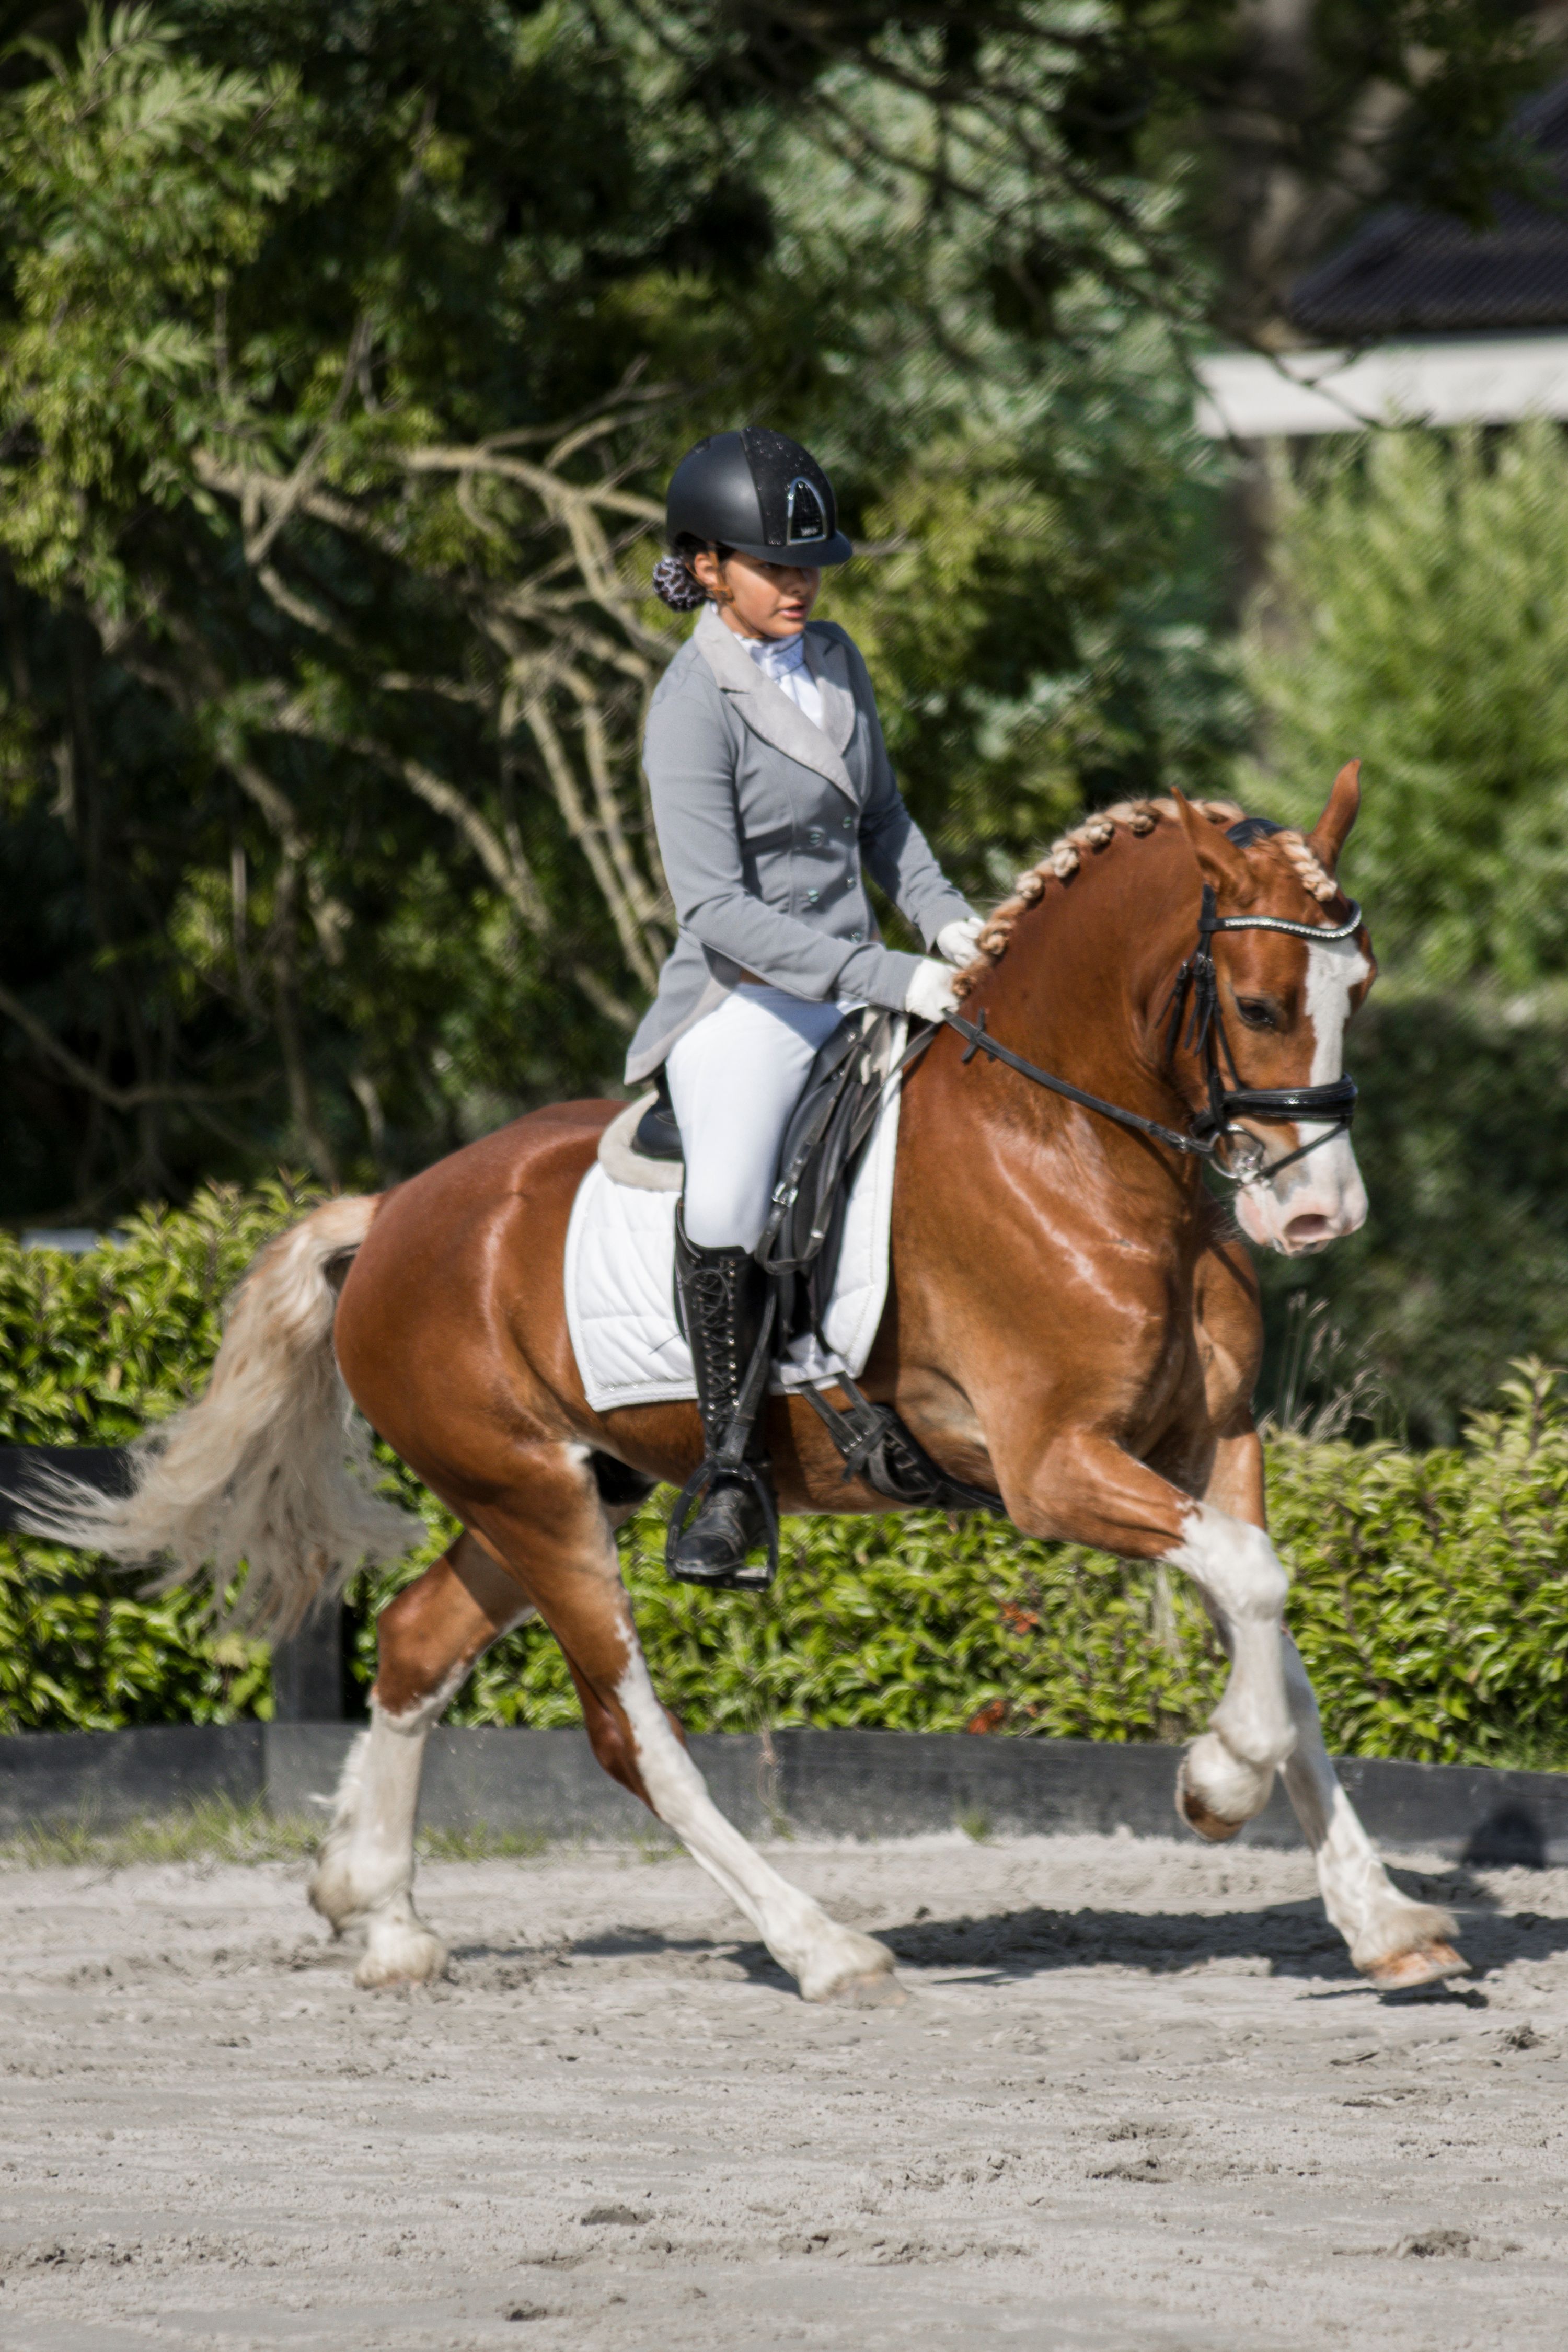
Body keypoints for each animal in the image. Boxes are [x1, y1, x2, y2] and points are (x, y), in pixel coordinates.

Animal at [31, 768, 1464, 2002]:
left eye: (1360, 987)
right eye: (1263, 1005)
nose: (1320, 1216)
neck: (1073, 1149)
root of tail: (389, 1217)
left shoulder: (1209, 1442)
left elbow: (1276, 1630)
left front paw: (1380, 1919)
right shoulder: (1050, 1466)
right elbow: (1253, 1585)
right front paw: (1217, 1781)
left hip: (550, 1492)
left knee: (415, 1641)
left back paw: (376, 1914)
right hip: (539, 1504)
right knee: (629, 1734)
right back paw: (821, 1945)